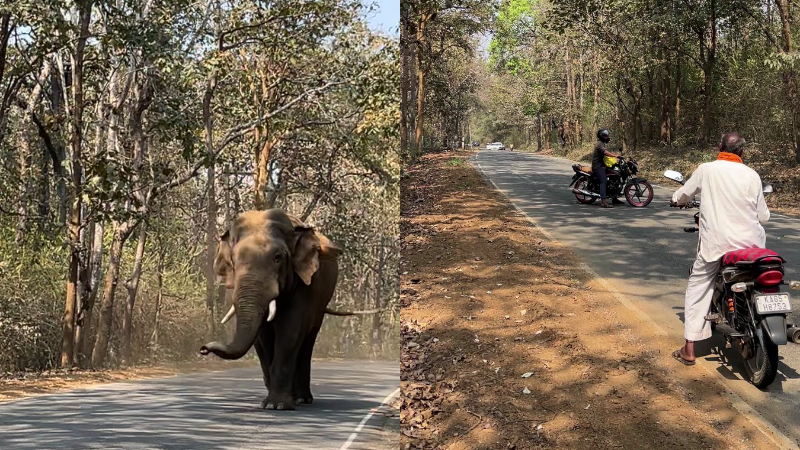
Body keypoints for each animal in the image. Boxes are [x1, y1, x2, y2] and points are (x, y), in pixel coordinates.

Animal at [199, 209, 377, 410]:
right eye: (233, 261)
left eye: (277, 258)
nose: (203, 349)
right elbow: (264, 337)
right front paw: (271, 402)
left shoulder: (307, 283)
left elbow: (290, 332)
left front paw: (277, 405)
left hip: (320, 304)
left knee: (308, 340)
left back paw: (302, 399)